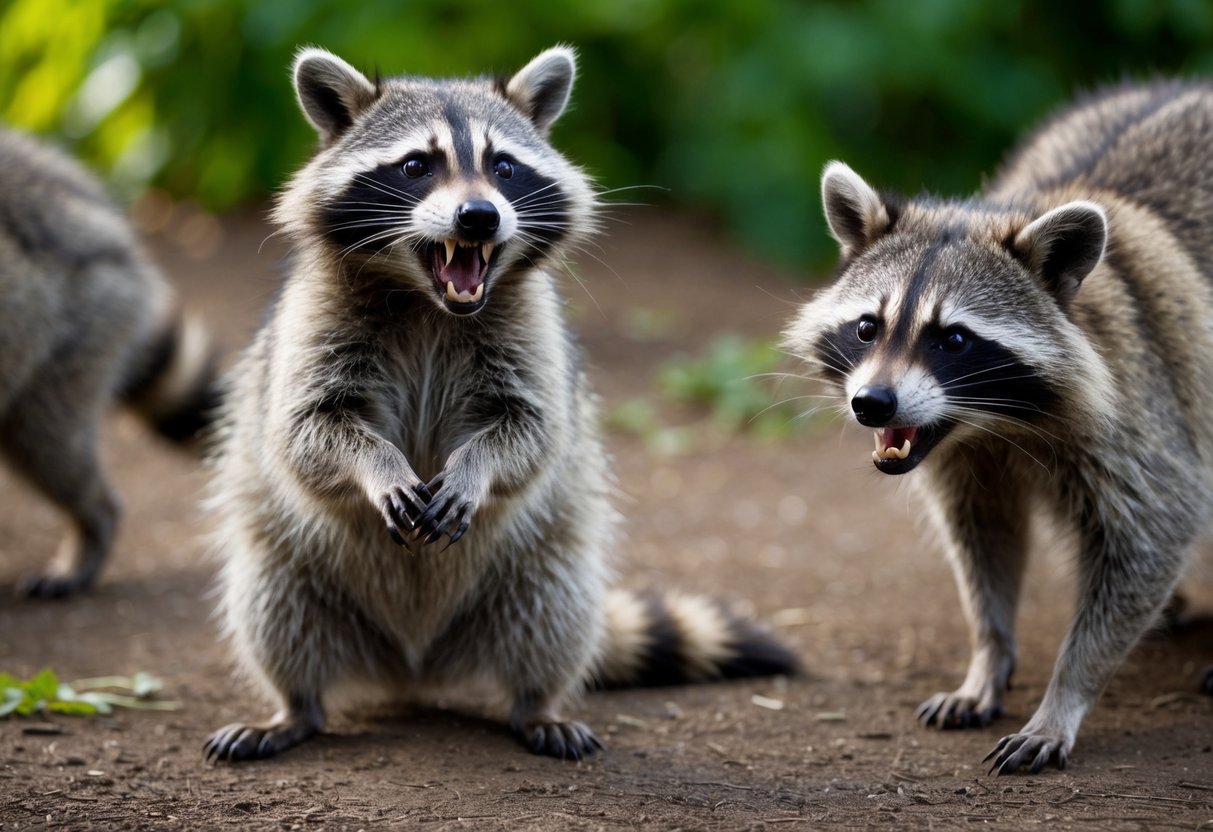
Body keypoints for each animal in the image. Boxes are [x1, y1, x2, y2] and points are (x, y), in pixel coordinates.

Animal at [203, 46, 797, 763]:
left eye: (504, 167)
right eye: (416, 165)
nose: (479, 217)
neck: (429, 302)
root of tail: (415, 666)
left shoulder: (531, 332)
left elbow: (534, 430)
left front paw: (475, 468)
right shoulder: (312, 325)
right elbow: (305, 430)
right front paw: (376, 464)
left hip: (543, 566)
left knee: (553, 617)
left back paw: (536, 701)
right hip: (286, 563)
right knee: (273, 612)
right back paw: (293, 706)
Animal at [784, 81, 1213, 774]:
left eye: (953, 339)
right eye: (868, 327)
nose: (872, 404)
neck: (992, 423)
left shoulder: (1142, 407)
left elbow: (1152, 534)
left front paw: (1066, 693)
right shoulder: (967, 462)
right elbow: (983, 539)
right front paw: (988, 653)